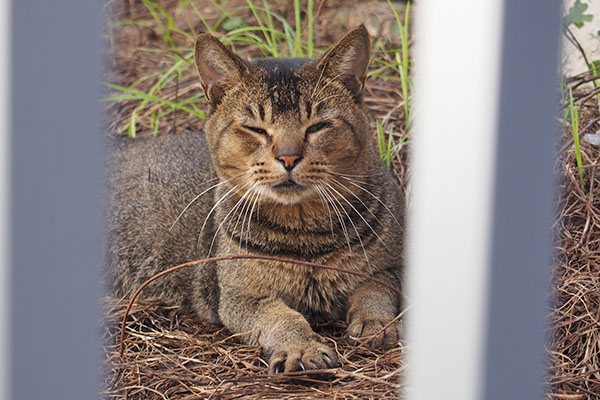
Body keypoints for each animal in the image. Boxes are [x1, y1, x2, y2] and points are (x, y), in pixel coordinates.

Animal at [107, 26, 404, 374]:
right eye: (255, 129)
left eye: (318, 126)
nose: (288, 157)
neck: (306, 237)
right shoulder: (238, 298)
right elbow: (282, 317)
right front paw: (302, 347)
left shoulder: (395, 267)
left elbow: (375, 288)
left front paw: (375, 322)